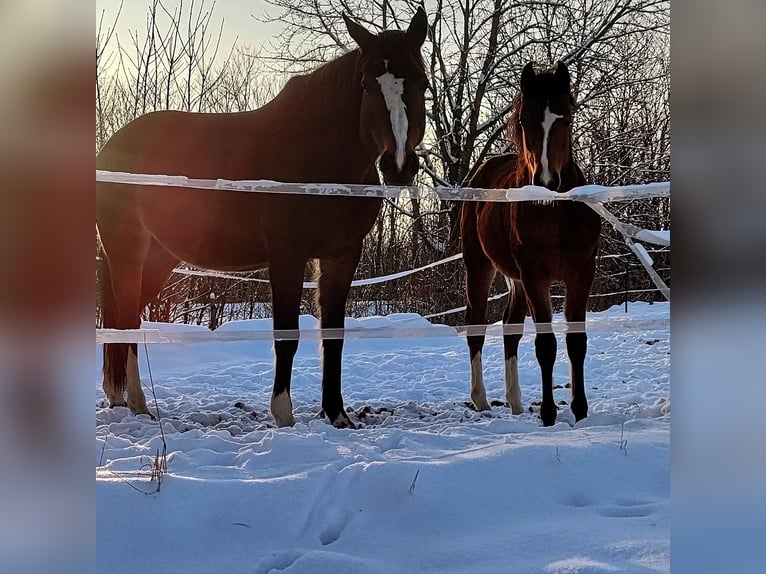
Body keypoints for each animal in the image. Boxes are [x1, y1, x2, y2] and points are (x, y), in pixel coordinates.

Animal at [96, 9, 429, 429]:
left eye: (422, 82)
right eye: (368, 85)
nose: (398, 165)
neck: (320, 161)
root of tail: (110, 147)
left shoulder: (342, 257)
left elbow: (333, 335)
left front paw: (337, 415)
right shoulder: (287, 255)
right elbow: (287, 334)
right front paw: (284, 414)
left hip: (159, 257)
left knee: (128, 322)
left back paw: (126, 400)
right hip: (127, 251)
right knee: (123, 321)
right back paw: (134, 403)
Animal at [461, 61, 601, 426]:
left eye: (565, 118)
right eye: (524, 120)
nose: (546, 181)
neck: (556, 214)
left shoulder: (581, 274)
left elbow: (576, 341)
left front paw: (580, 409)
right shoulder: (536, 276)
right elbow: (546, 345)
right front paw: (550, 413)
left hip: (517, 281)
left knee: (510, 329)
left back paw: (515, 401)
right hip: (480, 268)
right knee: (476, 327)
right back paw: (480, 399)